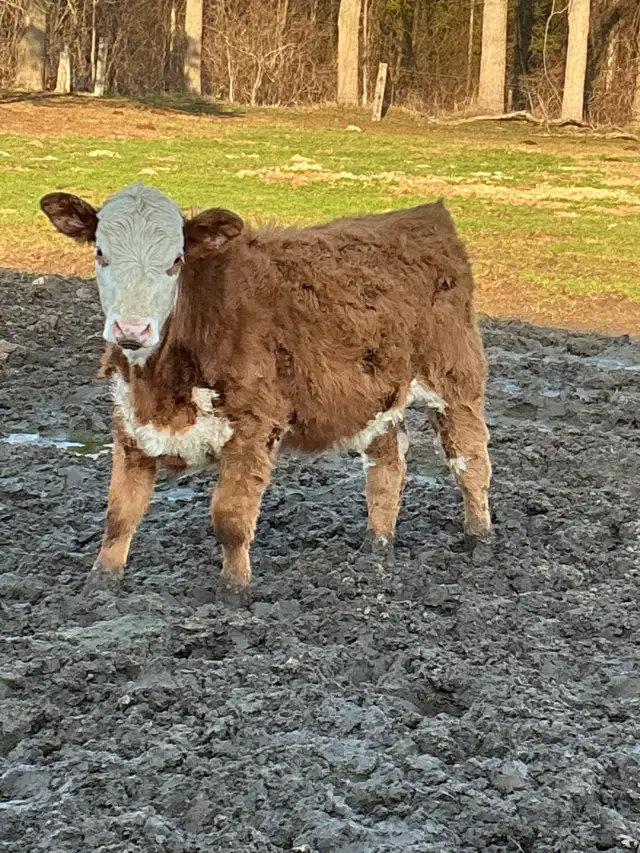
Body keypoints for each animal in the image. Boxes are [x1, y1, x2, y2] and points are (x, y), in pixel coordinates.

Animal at [40, 183, 492, 592]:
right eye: (101, 253)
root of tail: (425, 216)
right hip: (377, 398)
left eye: (175, 260)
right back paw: (377, 547)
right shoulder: (130, 426)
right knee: (387, 466)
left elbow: (230, 517)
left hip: (455, 380)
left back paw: (479, 540)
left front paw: (234, 591)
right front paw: (100, 584)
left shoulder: (253, 427)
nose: (132, 329)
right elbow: (120, 513)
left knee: (470, 460)